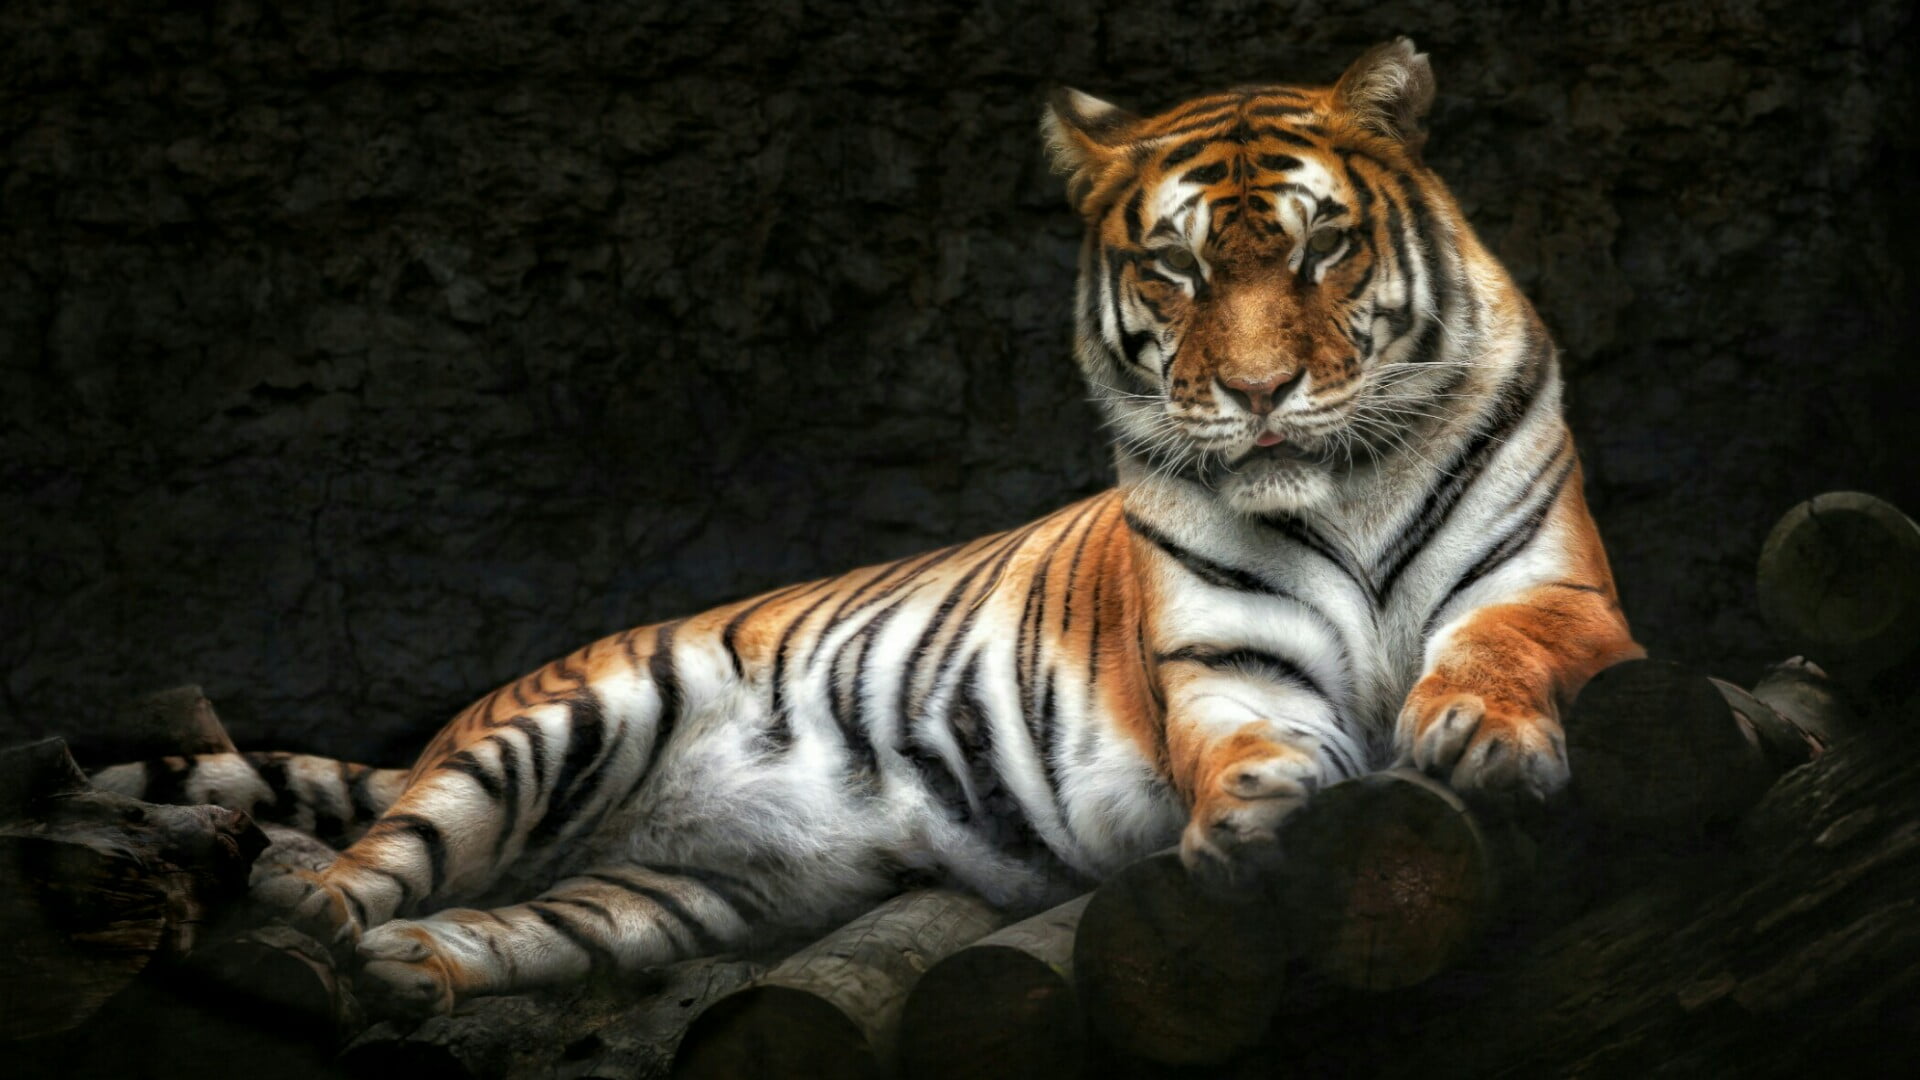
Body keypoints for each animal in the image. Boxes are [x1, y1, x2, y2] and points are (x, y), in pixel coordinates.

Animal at [92, 38, 1641, 1017]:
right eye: (1175, 267)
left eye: (1324, 247)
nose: (1259, 395)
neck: (1345, 484)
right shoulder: (1225, 665)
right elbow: (1253, 742)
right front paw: (1259, 816)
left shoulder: (1560, 593)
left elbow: (1501, 649)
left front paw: (1476, 730)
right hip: (554, 732)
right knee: (369, 863)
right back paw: (300, 942)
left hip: (671, 897)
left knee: (506, 917)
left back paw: (414, 972)